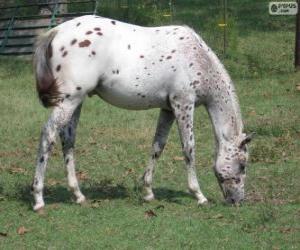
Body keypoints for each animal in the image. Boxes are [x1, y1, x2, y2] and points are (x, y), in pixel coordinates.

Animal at [31, 15, 253, 211]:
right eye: (242, 165)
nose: (237, 201)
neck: (198, 58)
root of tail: (56, 31)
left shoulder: (168, 109)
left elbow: (158, 146)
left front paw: (148, 192)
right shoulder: (183, 104)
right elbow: (189, 148)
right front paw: (199, 195)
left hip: (76, 101)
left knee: (68, 139)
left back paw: (78, 195)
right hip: (69, 101)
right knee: (48, 135)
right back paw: (38, 198)